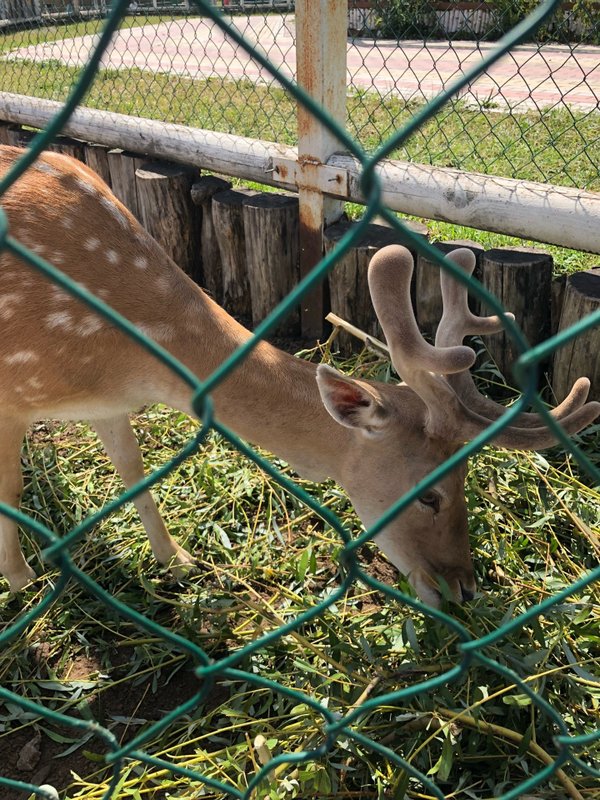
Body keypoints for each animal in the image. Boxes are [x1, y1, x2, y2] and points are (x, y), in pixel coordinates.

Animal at [1, 145, 600, 608]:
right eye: (429, 495)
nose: (464, 589)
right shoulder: (14, 393)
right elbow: (10, 489)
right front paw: (21, 580)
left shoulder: (105, 403)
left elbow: (135, 475)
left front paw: (178, 561)